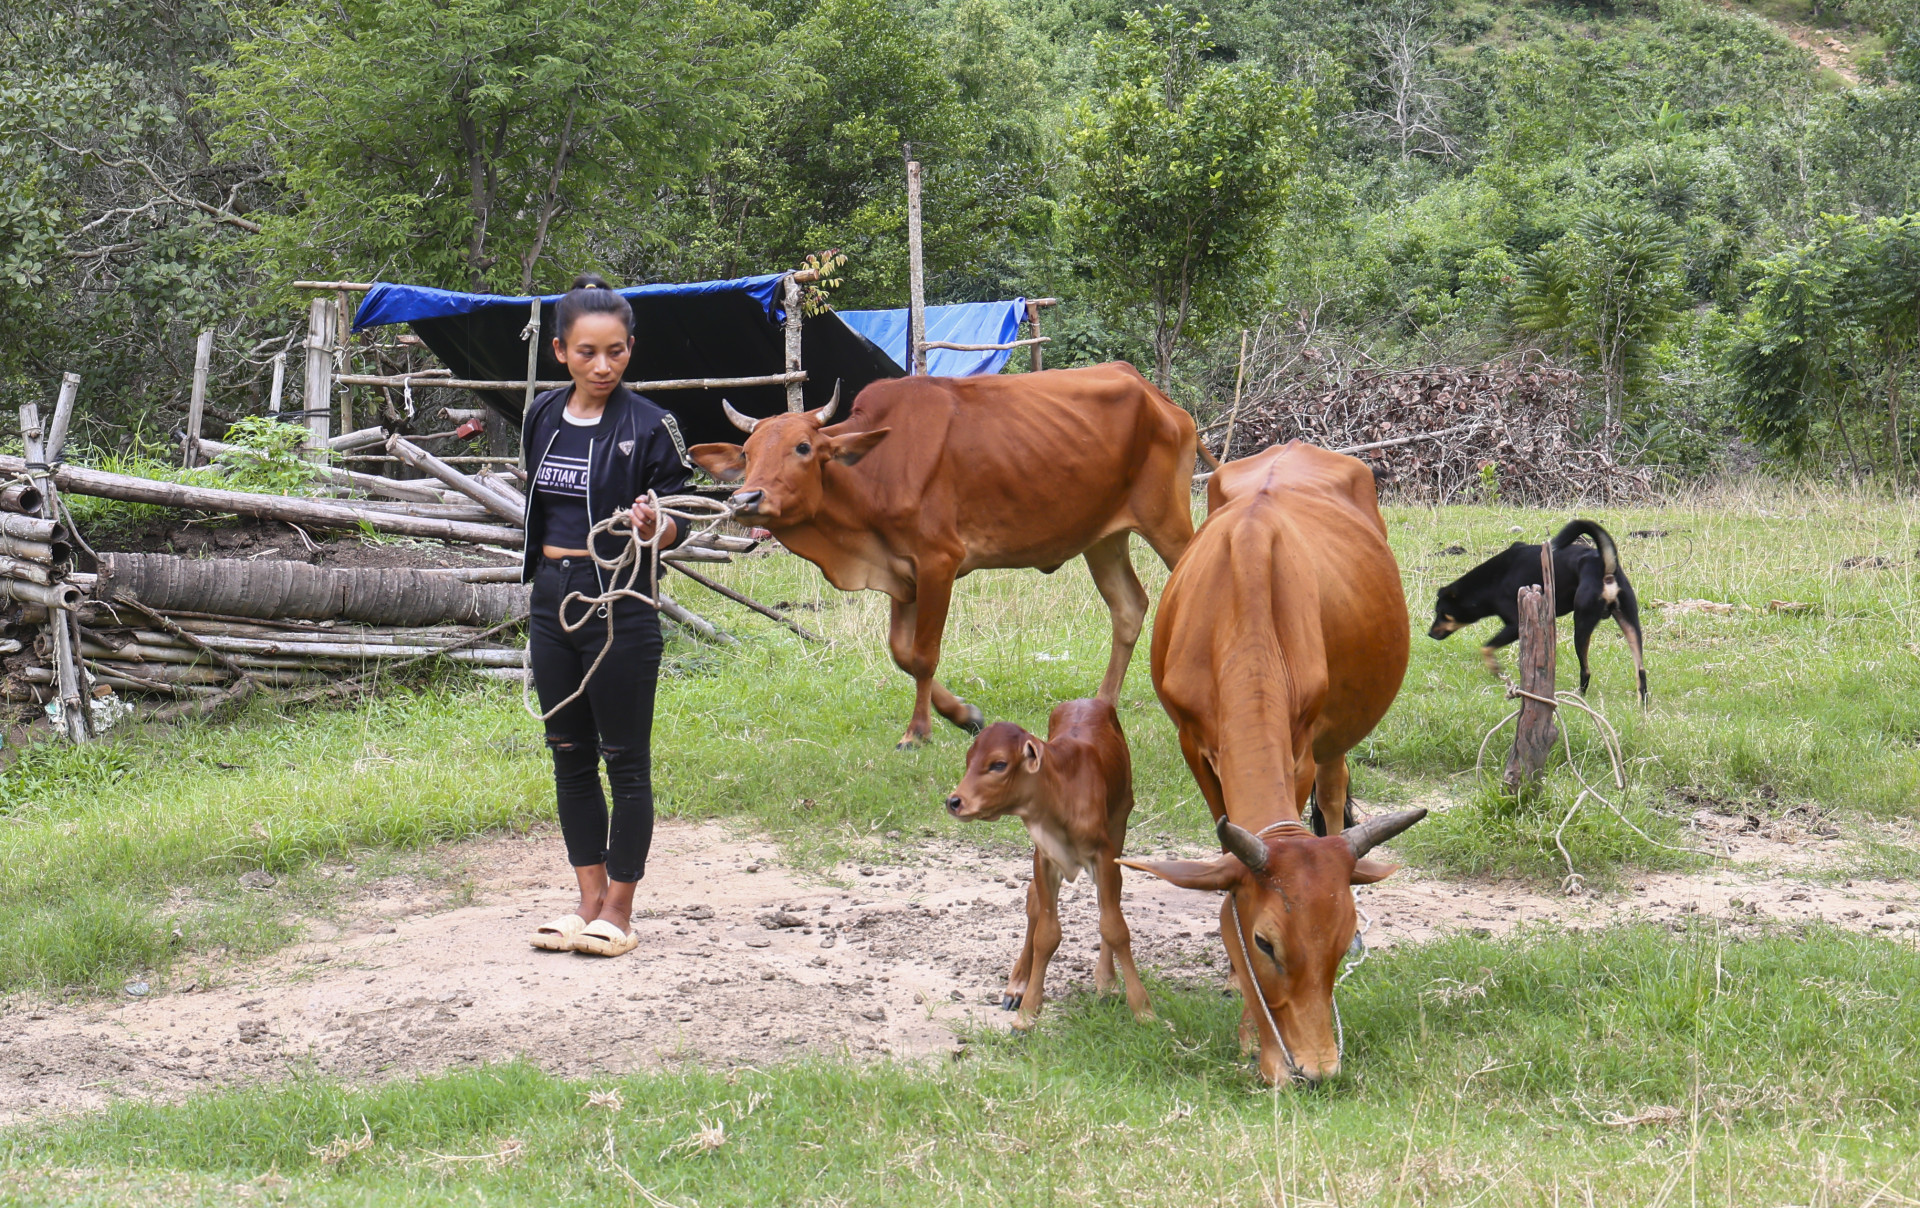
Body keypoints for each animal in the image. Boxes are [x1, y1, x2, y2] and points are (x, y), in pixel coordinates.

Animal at [691, 362, 1198, 748]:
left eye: (802, 447)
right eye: (748, 452)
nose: (746, 499)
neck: (874, 472)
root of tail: (1155, 395)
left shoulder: (939, 561)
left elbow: (923, 654)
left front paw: (918, 732)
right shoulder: (901, 574)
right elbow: (901, 653)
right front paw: (964, 714)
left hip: (1167, 521)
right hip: (1102, 538)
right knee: (1128, 608)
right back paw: (1102, 707)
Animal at [936, 699, 1144, 1029]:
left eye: (998, 764)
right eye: (969, 760)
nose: (954, 802)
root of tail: (1091, 700)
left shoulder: (1104, 854)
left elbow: (1114, 925)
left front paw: (1142, 1009)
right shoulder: (1043, 858)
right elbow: (1046, 934)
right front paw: (1027, 1013)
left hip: (1120, 820)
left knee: (1109, 901)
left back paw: (1107, 981)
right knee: (1033, 900)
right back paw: (1017, 986)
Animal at [1113, 443, 1428, 1083]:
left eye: (1343, 938)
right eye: (1265, 944)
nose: (1316, 1067)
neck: (1240, 612)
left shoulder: (1301, 745)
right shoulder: (1193, 744)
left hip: (1334, 738)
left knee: (1333, 795)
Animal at [1436, 514, 1643, 702]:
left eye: (1443, 614)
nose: (1431, 633)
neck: (1492, 580)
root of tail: (1605, 568)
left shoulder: (1515, 626)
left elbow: (1486, 647)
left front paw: (1495, 668)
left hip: (1582, 624)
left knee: (1586, 670)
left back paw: (1578, 696)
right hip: (1630, 623)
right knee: (1640, 671)